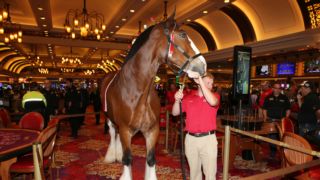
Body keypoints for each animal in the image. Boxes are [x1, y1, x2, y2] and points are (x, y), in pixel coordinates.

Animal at [102, 12, 208, 180]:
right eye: (183, 35)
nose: (203, 65)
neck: (137, 92)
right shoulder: (125, 130)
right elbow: (128, 159)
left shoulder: (152, 130)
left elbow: (151, 159)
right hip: (110, 119)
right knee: (113, 134)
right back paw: (112, 156)